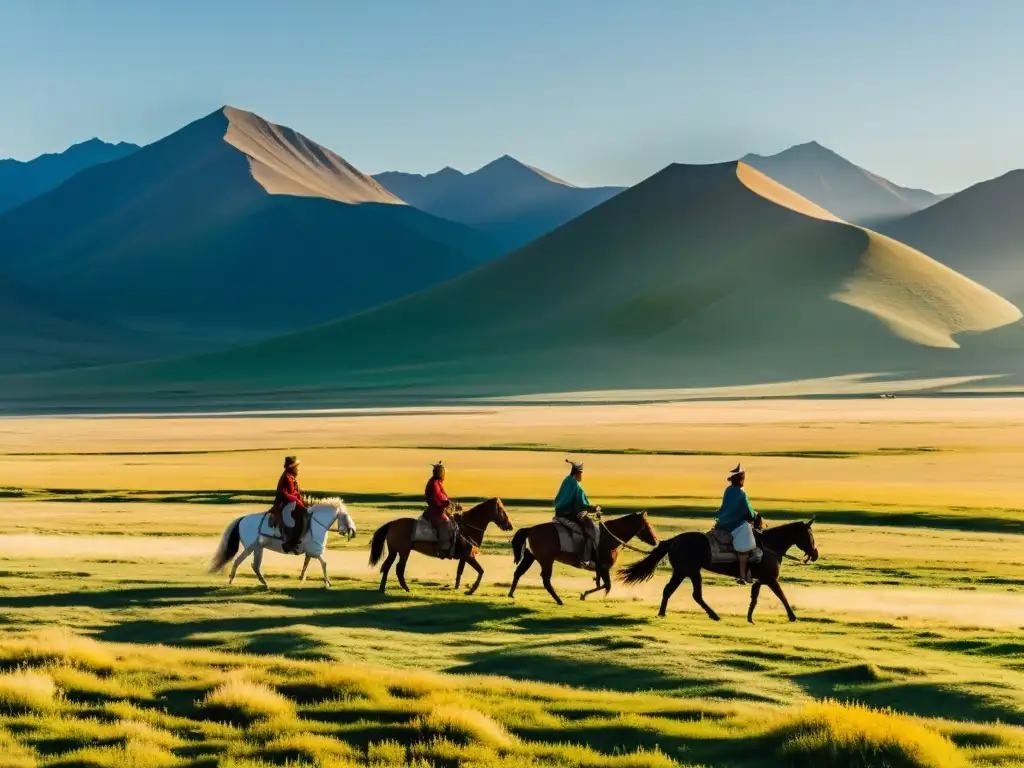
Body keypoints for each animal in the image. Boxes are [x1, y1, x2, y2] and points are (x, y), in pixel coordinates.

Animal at [207, 499, 356, 589]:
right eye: (345, 517)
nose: (353, 532)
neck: (315, 524)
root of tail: (242, 519)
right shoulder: (315, 551)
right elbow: (324, 564)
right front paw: (328, 582)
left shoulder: (310, 552)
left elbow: (306, 564)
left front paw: (302, 578)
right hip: (250, 547)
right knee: (239, 561)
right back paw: (231, 580)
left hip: (258, 548)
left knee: (255, 565)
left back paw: (265, 583)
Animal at [366, 499, 512, 593]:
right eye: (501, 510)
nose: (509, 525)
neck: (467, 527)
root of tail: (392, 523)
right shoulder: (468, 556)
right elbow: (477, 571)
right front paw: (470, 589)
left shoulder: (465, 557)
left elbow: (465, 571)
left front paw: (459, 587)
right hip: (403, 551)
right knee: (398, 568)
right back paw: (406, 588)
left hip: (394, 551)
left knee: (387, 566)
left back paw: (383, 588)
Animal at [507, 512, 659, 606]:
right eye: (647, 525)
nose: (656, 540)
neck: (609, 538)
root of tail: (530, 529)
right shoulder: (603, 567)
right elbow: (607, 586)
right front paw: (584, 595)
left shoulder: (600, 569)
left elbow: (601, 584)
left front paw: (585, 594)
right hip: (546, 560)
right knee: (545, 580)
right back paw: (559, 601)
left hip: (530, 557)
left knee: (518, 572)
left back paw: (511, 595)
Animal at [614, 518, 815, 626]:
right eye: (810, 535)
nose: (815, 554)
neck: (770, 546)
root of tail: (674, 540)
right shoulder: (771, 579)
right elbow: (782, 596)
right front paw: (793, 617)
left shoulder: (761, 580)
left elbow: (754, 598)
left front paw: (750, 618)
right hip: (689, 571)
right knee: (689, 593)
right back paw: (711, 615)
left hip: (685, 571)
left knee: (675, 591)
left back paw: (666, 613)